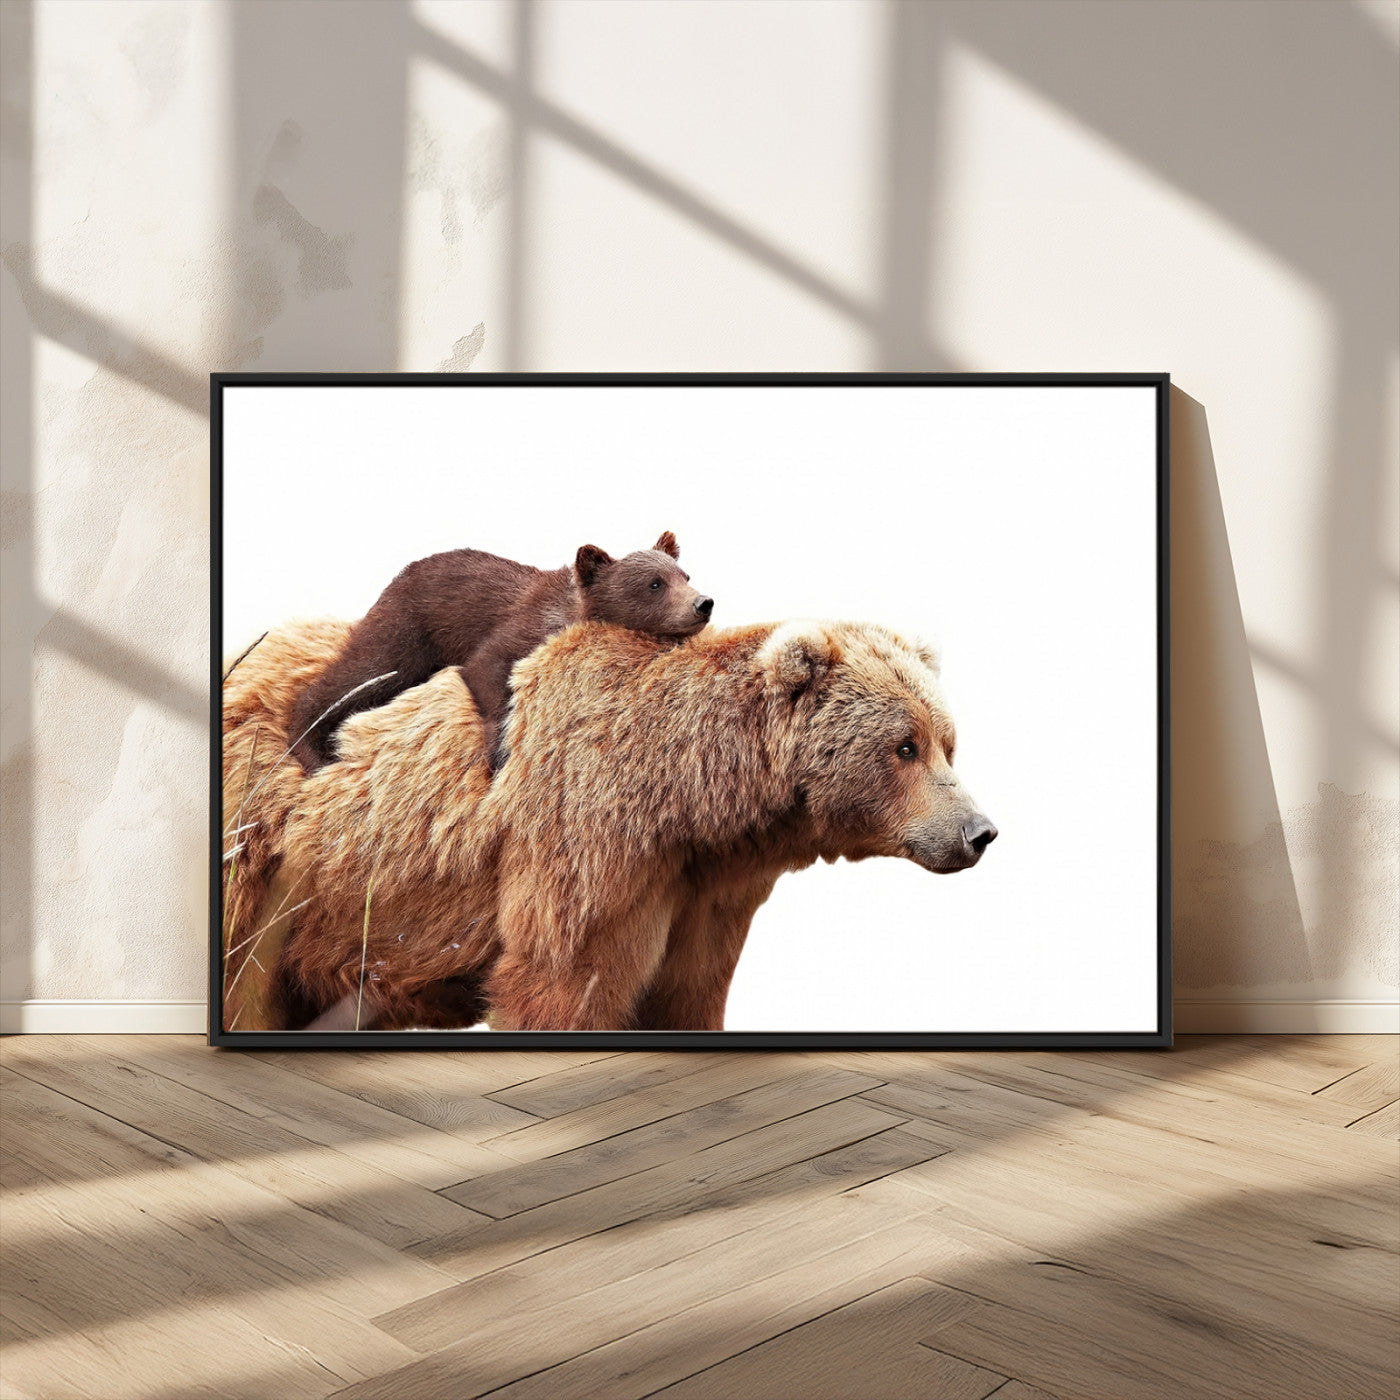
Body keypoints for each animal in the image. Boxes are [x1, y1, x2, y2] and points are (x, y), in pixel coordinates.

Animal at [221, 615, 996, 1033]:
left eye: (948, 742)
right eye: (904, 746)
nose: (978, 831)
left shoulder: (703, 895)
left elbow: (688, 992)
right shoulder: (588, 849)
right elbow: (561, 981)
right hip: (263, 860)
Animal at [287, 531, 713, 773]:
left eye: (684, 575)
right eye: (654, 583)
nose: (703, 603)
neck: (571, 613)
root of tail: (398, 576)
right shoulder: (519, 629)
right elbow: (487, 668)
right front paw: (499, 753)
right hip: (407, 629)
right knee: (362, 672)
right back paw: (312, 749)